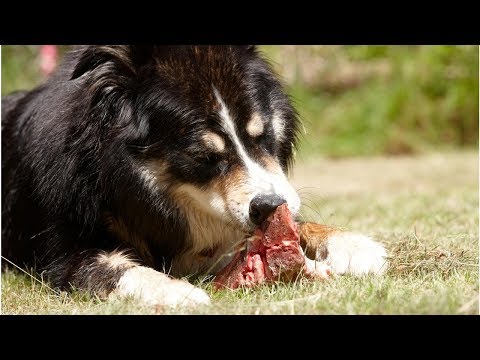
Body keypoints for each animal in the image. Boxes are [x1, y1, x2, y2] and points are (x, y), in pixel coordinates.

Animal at [0, 45, 386, 306]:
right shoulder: (62, 254)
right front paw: (180, 294)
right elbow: (116, 269)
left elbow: (297, 222)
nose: (266, 206)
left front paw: (354, 245)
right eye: (204, 156)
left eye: (261, 135)